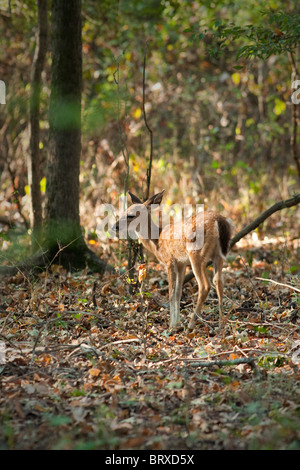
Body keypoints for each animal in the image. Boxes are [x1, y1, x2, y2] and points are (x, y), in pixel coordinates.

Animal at [111, 190, 233, 330]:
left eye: (130, 215)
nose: (115, 227)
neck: (157, 242)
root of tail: (219, 220)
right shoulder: (181, 263)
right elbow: (178, 293)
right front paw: (177, 322)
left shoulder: (169, 260)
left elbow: (171, 293)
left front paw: (171, 326)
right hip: (220, 254)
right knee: (219, 282)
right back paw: (221, 324)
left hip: (195, 253)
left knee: (205, 286)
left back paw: (191, 325)